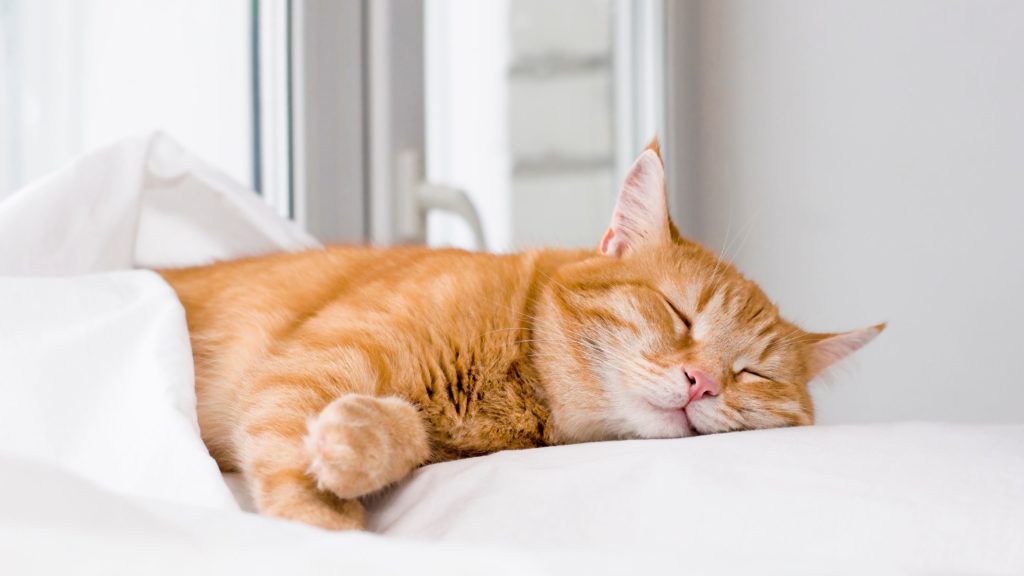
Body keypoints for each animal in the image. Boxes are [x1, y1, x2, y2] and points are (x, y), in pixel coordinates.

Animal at [159, 140, 880, 528]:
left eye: (752, 373)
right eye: (680, 314)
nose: (703, 382)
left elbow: (398, 432)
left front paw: (357, 443)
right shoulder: (300, 372)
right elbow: (298, 489)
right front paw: (330, 532)